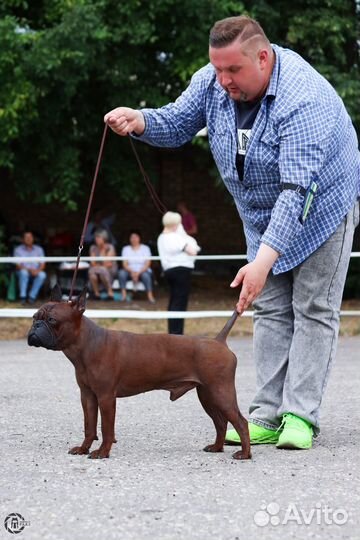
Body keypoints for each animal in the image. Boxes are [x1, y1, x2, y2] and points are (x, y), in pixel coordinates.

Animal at [28, 284, 250, 458]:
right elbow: (89, 427)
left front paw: (102, 452)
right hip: (207, 396)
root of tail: (219, 341)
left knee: (240, 422)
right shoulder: (88, 397)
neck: (87, 343)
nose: (35, 327)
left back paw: (245, 454)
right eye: (34, 317)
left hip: (220, 394)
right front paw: (84, 449)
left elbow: (106, 429)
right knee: (221, 423)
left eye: (52, 320)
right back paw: (217, 447)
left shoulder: (106, 398)